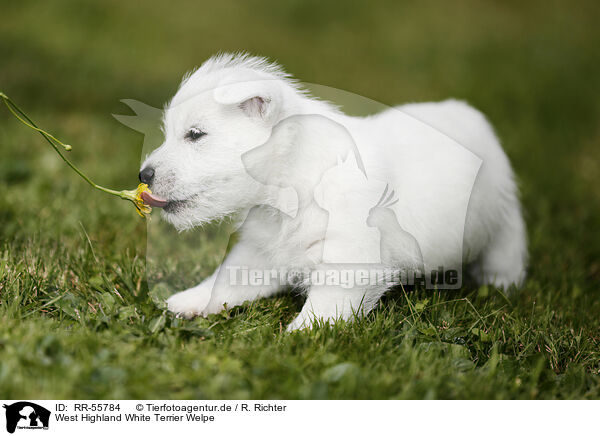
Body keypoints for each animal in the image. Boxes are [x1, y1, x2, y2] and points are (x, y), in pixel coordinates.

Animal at [141, 52, 524, 330]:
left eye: (195, 134)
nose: (143, 174)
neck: (296, 179)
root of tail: (469, 113)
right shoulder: (261, 252)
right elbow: (224, 280)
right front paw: (189, 301)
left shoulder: (347, 261)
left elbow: (323, 310)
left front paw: (297, 337)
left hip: (501, 214)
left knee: (508, 245)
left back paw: (504, 283)